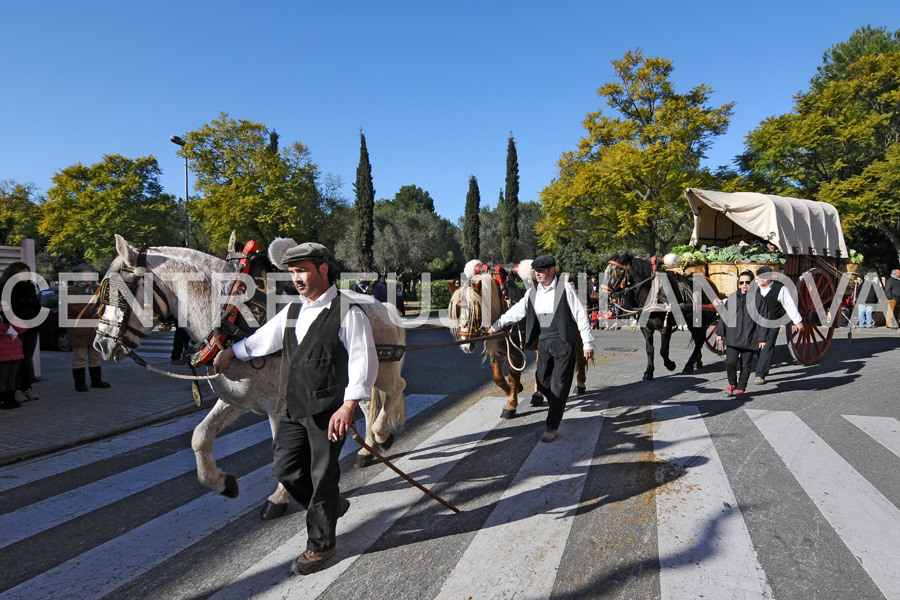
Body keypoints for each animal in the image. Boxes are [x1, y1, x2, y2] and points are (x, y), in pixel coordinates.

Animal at [93, 237, 406, 516]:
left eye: (118, 293)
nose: (100, 344)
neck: (231, 321)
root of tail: (382, 304)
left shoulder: (279, 409)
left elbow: (284, 454)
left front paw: (279, 497)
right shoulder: (236, 401)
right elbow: (200, 437)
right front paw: (221, 482)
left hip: (381, 369)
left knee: (395, 389)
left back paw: (381, 433)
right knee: (366, 402)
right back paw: (368, 450)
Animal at [600, 252, 720, 380]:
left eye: (616, 271)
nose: (601, 294)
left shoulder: (666, 327)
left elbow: (663, 350)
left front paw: (670, 365)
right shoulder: (646, 328)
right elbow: (649, 350)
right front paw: (648, 372)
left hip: (703, 319)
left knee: (700, 339)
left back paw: (689, 364)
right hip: (692, 321)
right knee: (698, 339)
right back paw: (696, 361)